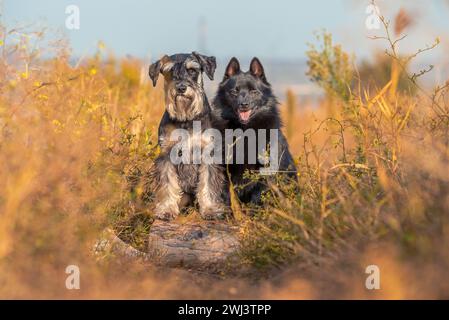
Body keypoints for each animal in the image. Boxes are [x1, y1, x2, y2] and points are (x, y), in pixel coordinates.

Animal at [149, 52, 228, 221]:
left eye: (192, 70)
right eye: (170, 71)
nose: (181, 88)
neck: (186, 119)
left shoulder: (207, 154)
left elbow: (208, 183)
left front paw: (210, 209)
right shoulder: (167, 154)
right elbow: (167, 183)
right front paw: (167, 209)